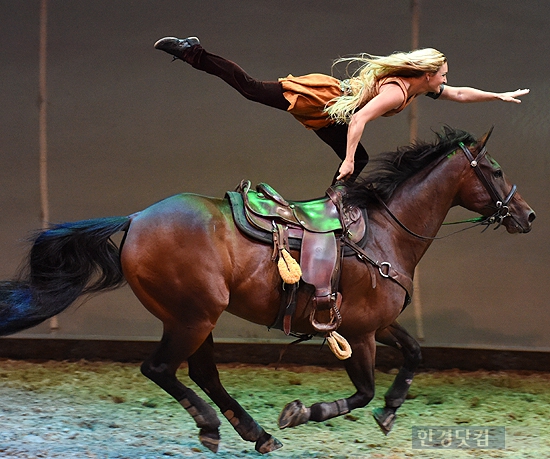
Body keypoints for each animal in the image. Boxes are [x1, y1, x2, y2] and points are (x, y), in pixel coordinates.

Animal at [0, 127, 536, 454]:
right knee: (162, 369)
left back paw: (251, 432)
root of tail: (136, 219)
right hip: (194, 315)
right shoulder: (359, 333)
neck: (386, 233)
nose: (527, 214)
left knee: (201, 372)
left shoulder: (379, 323)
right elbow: (361, 392)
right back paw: (216, 424)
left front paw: (391, 410)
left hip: (196, 318)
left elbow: (415, 353)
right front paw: (303, 412)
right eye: (496, 170)